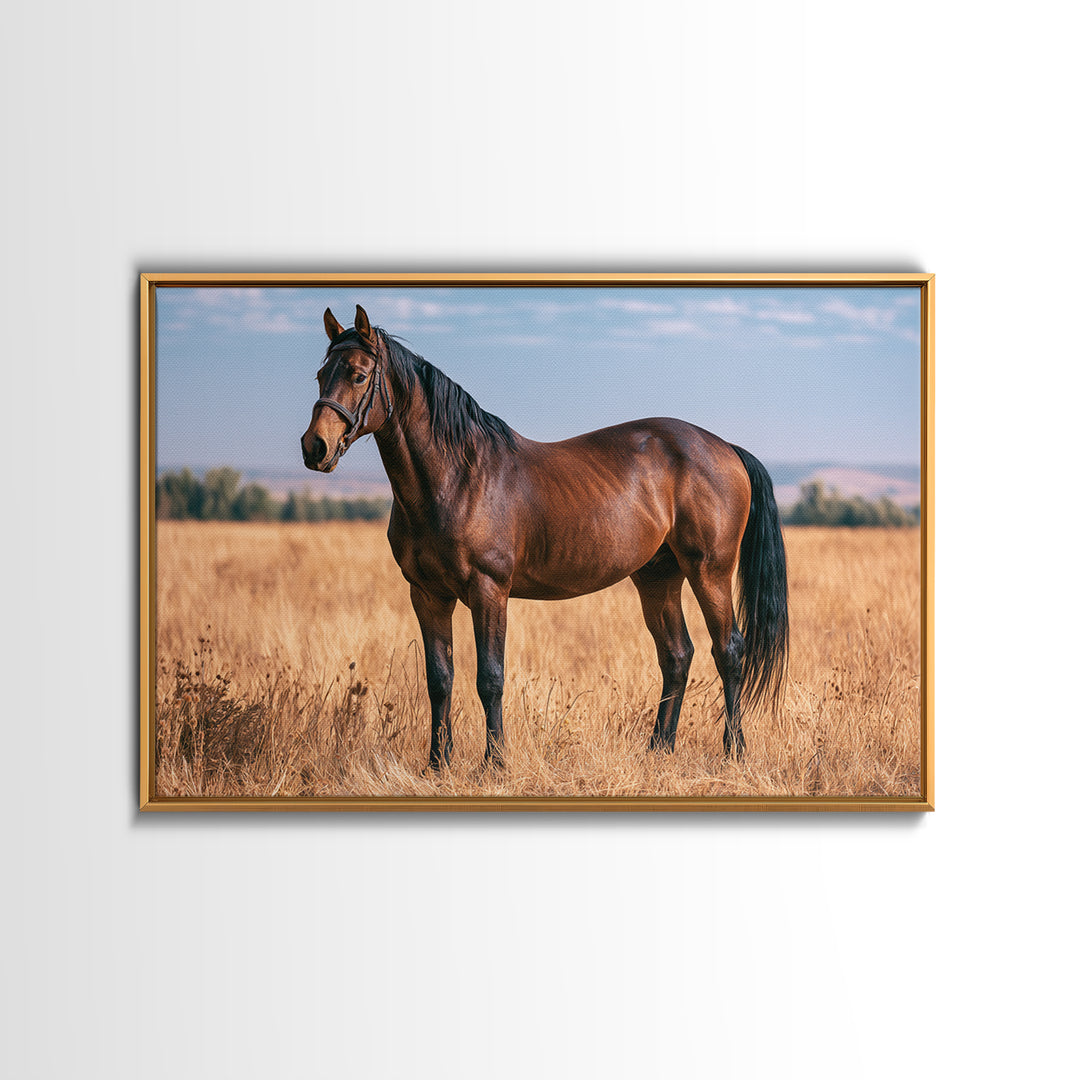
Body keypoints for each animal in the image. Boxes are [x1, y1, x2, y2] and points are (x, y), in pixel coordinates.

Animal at [301, 304, 788, 770]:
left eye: (358, 374)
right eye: (322, 375)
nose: (314, 447)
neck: (456, 477)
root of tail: (726, 448)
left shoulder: (488, 591)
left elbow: (490, 678)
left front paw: (494, 763)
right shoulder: (427, 594)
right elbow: (439, 680)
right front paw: (437, 764)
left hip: (710, 572)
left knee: (729, 652)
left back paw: (734, 751)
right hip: (657, 577)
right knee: (677, 655)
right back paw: (659, 749)